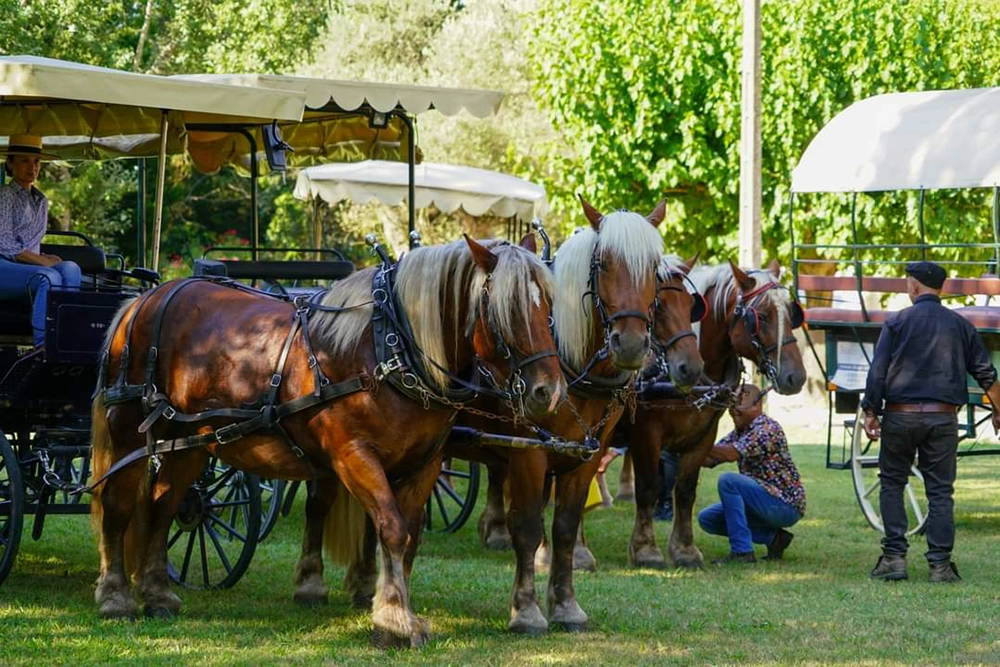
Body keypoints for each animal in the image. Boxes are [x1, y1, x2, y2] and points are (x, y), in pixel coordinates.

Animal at [90, 235, 565, 649]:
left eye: (548, 306)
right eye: (507, 310)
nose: (549, 392)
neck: (388, 349)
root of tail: (144, 300)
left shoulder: (423, 464)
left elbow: (408, 538)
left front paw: (392, 608)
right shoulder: (354, 456)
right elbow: (392, 529)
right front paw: (394, 621)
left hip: (190, 440)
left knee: (163, 505)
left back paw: (157, 594)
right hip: (129, 430)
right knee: (117, 504)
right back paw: (116, 596)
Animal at [614, 259, 807, 568]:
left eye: (792, 313)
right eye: (761, 317)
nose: (796, 377)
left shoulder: (704, 436)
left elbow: (685, 490)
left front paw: (684, 550)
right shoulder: (646, 435)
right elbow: (648, 488)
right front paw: (646, 550)